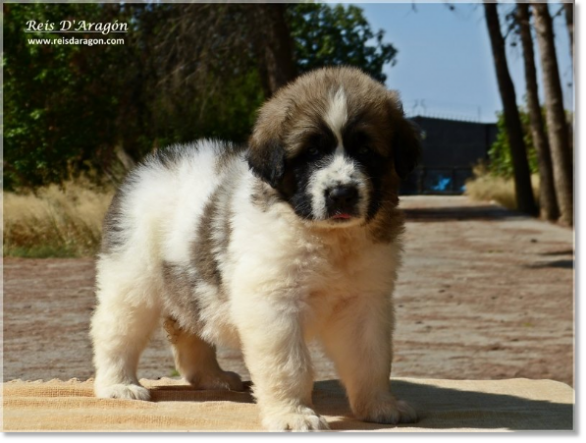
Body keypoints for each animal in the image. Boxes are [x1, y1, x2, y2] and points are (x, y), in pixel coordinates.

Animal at [90, 67, 420, 432]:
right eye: (310, 153)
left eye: (366, 152)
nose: (342, 194)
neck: (324, 236)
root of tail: (147, 168)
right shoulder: (273, 305)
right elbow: (289, 364)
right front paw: (294, 414)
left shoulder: (364, 301)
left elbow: (371, 358)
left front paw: (379, 405)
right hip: (133, 281)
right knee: (116, 329)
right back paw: (118, 384)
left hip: (192, 286)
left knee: (192, 331)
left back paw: (213, 377)